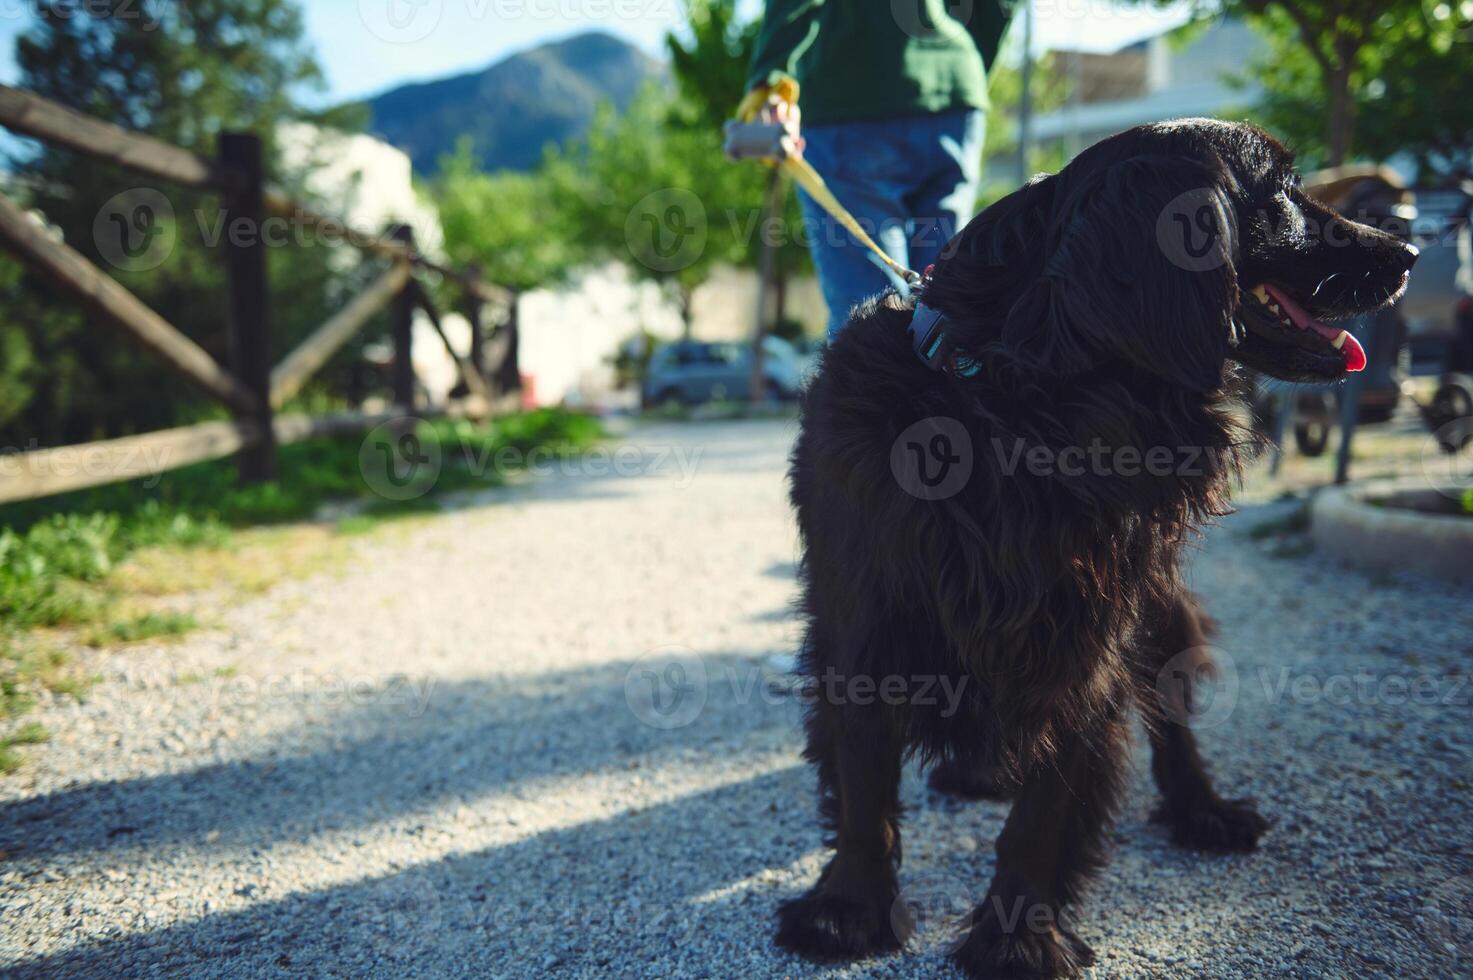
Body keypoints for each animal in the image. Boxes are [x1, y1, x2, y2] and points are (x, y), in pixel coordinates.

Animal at [783, 122, 1414, 978]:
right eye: (1281, 192)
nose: (1408, 250)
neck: (1020, 403)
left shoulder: (1084, 643)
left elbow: (1043, 814)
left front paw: (1017, 937)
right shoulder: (862, 626)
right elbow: (861, 785)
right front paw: (848, 908)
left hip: (1159, 608)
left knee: (1174, 728)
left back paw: (1204, 810)